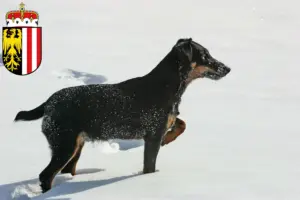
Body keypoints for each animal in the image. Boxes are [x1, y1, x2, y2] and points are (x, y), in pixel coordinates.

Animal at [14, 37, 231, 192]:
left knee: (66, 170)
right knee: (45, 175)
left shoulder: (165, 123)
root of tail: (48, 103)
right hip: (64, 144)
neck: (168, 86)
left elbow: (182, 123)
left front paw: (169, 138)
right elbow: (149, 166)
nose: (227, 68)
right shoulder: (152, 135)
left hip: (76, 145)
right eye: (205, 55)